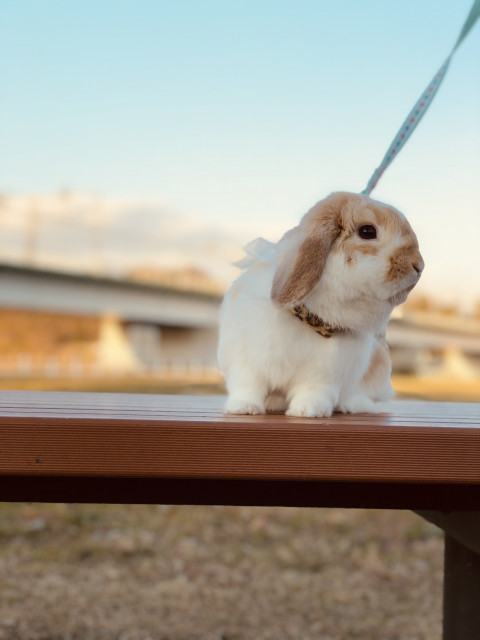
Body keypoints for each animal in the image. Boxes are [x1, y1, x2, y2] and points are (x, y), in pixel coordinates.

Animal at [218, 192, 424, 418]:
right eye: (367, 231)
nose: (418, 266)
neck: (310, 317)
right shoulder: (245, 362)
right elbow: (248, 387)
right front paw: (244, 408)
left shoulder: (324, 375)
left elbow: (312, 392)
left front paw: (307, 411)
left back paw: (351, 405)